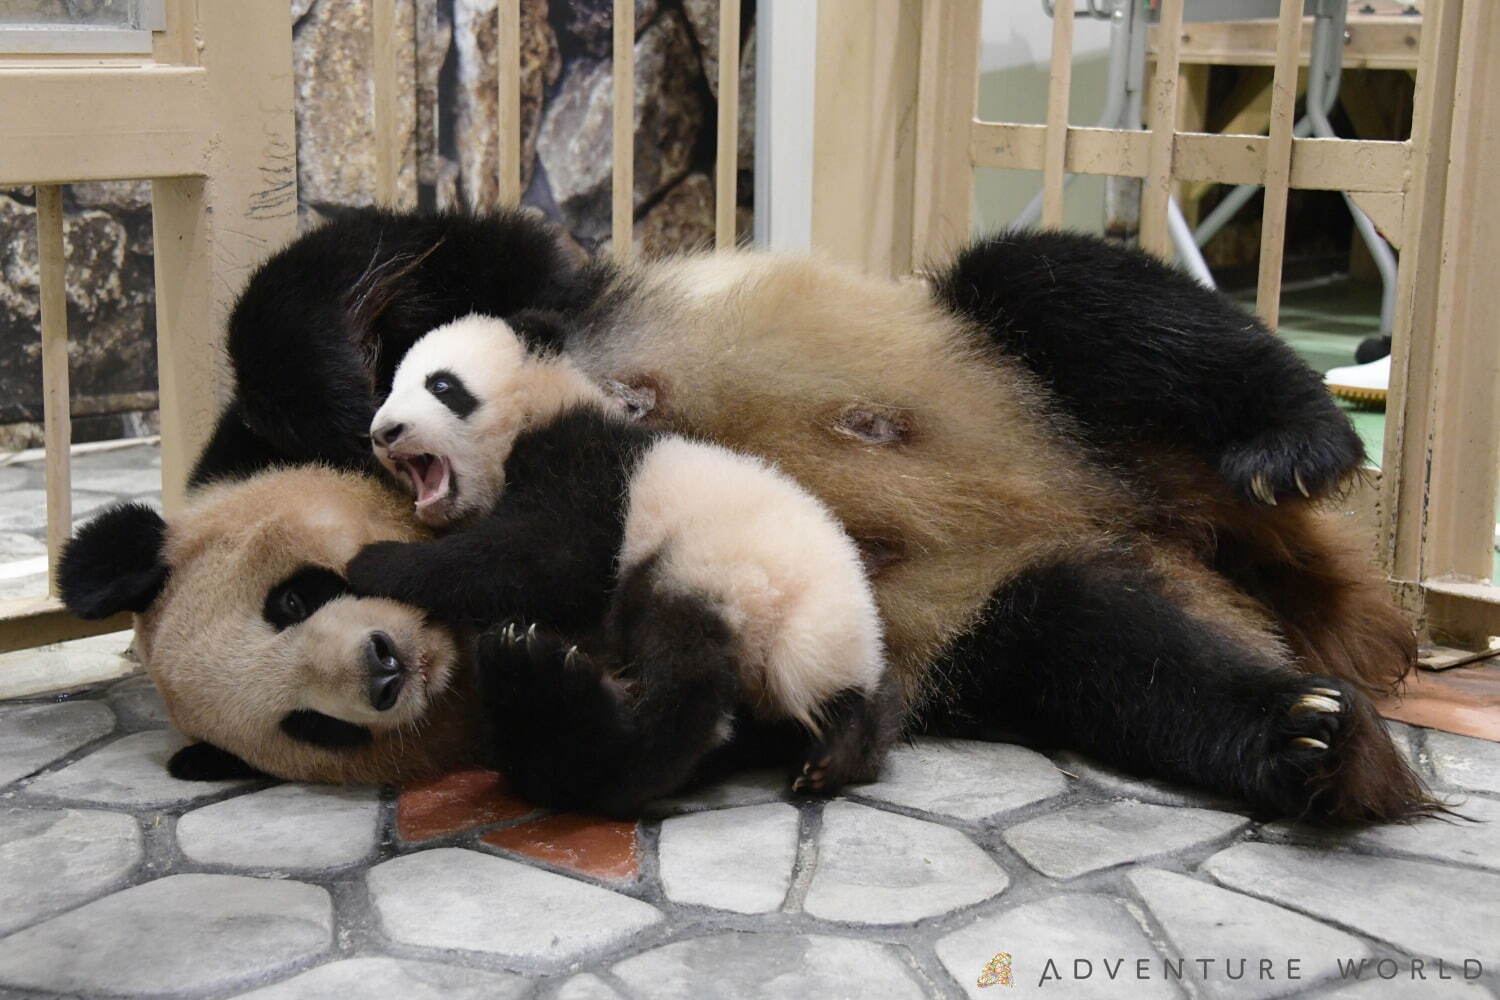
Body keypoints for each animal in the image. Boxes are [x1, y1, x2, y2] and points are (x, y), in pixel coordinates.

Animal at [345, 313, 894, 815]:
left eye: (441, 386)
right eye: (390, 388)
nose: (384, 432)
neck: (539, 403)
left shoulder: (587, 465)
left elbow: (552, 561)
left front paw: (373, 562)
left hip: (715, 572)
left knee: (682, 672)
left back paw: (594, 723)